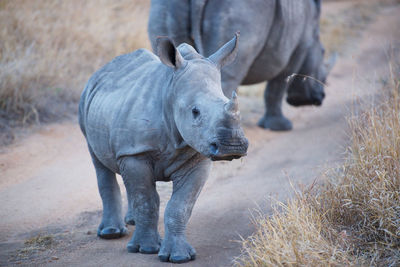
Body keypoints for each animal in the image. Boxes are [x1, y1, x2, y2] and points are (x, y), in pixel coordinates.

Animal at [77, 33, 247, 264]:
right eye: (195, 112)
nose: (233, 146)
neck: (171, 93)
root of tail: (100, 71)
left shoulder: (197, 155)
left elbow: (180, 206)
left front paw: (180, 257)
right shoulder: (136, 152)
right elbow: (147, 201)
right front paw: (145, 249)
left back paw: (131, 221)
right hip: (86, 105)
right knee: (100, 164)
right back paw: (111, 233)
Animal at [148, 0, 336, 131]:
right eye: (323, 52)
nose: (321, 96)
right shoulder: (299, 47)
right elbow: (279, 84)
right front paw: (281, 127)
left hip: (166, 7)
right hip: (242, 11)